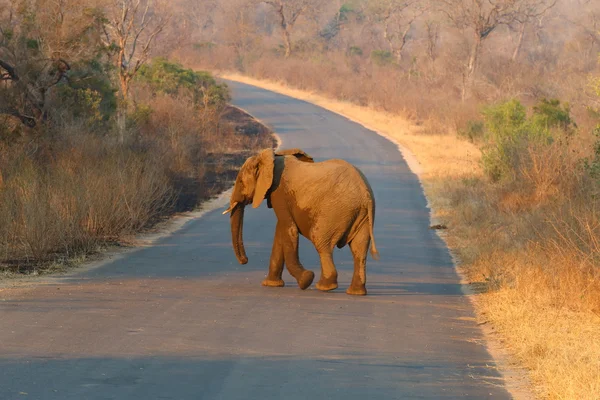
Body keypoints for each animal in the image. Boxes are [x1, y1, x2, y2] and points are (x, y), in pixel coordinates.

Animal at [223, 148, 382, 296]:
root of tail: (365, 193)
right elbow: (281, 232)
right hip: (363, 215)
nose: (245, 260)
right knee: (359, 249)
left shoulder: (279, 192)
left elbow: (289, 229)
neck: (273, 157)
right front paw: (271, 284)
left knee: (320, 241)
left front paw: (306, 280)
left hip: (335, 211)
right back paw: (356, 292)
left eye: (240, 182)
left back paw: (324, 286)